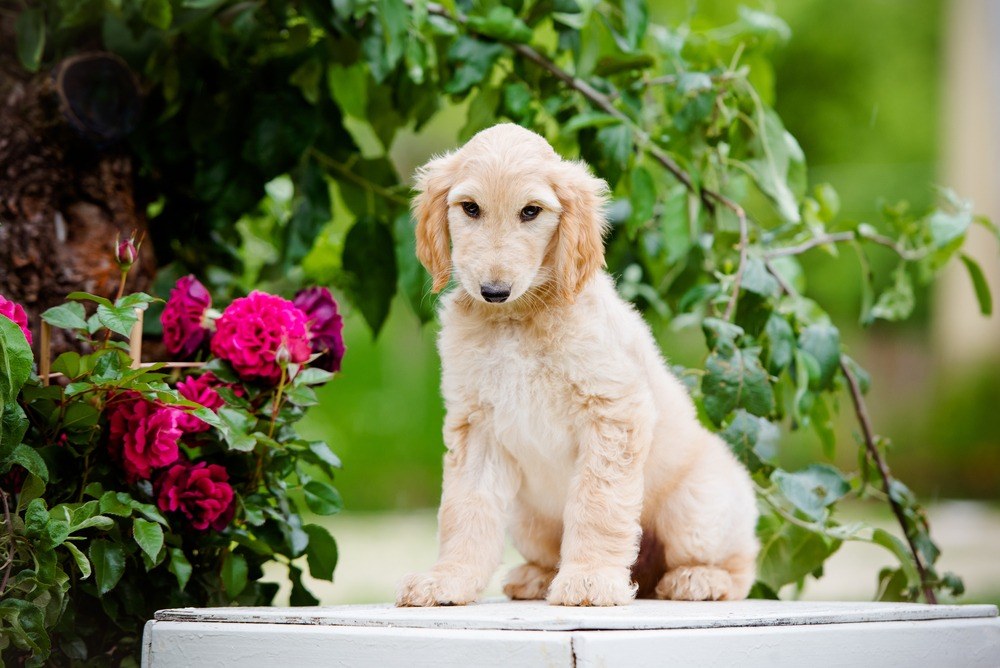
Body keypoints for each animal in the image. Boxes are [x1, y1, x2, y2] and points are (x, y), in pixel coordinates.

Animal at [398, 122, 756, 608]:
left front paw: (590, 579)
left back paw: (699, 579)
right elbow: (465, 508)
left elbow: (597, 502)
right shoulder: (477, 427)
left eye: (531, 212)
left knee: (741, 563)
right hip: (528, 519)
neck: (517, 320)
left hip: (698, 510)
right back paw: (536, 577)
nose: (493, 291)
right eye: (470, 208)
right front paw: (448, 580)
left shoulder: (612, 412)